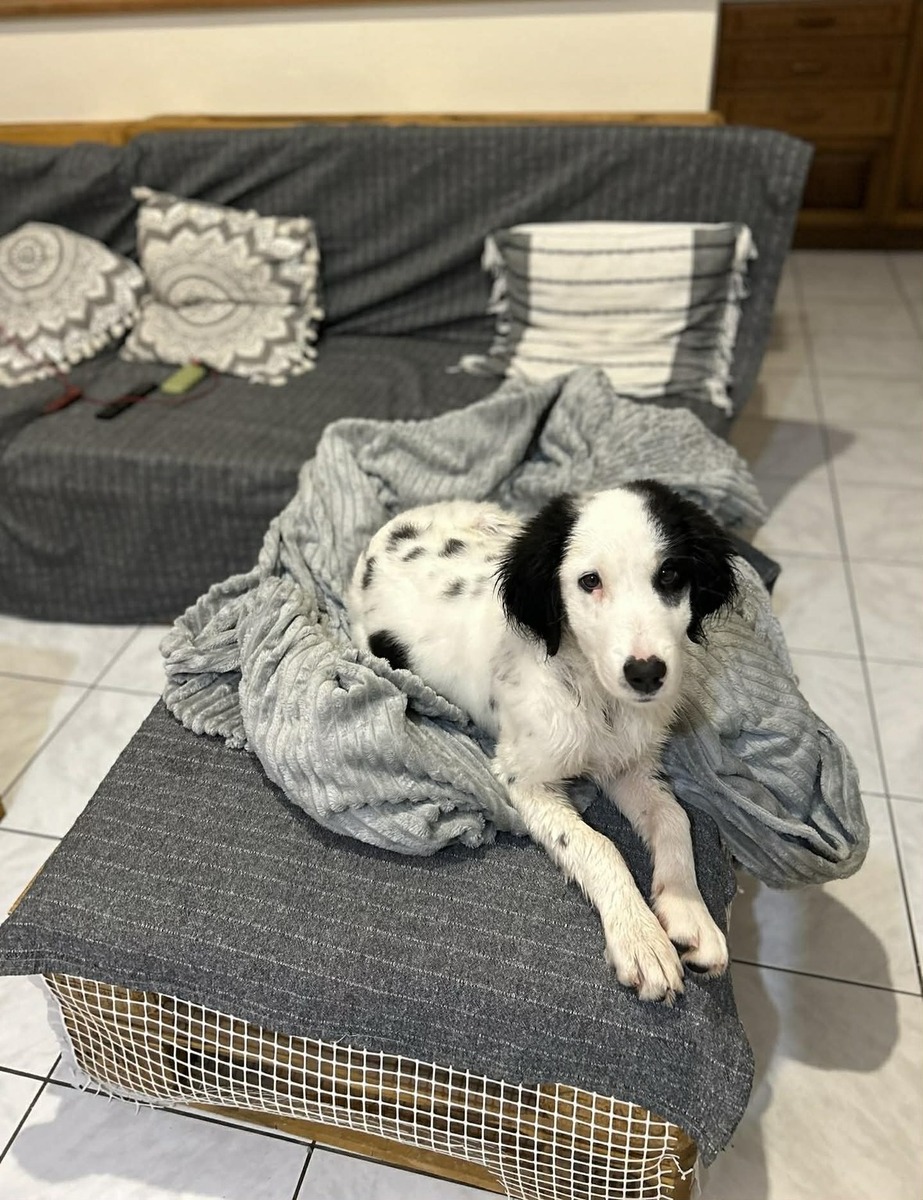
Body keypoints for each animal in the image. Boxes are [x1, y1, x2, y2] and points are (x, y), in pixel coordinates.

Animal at [348, 480, 738, 1003]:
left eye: (671, 574)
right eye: (589, 581)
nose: (646, 673)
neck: (596, 696)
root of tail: (391, 528)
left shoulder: (627, 764)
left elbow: (676, 818)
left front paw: (690, 913)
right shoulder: (524, 779)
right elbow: (599, 846)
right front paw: (640, 938)